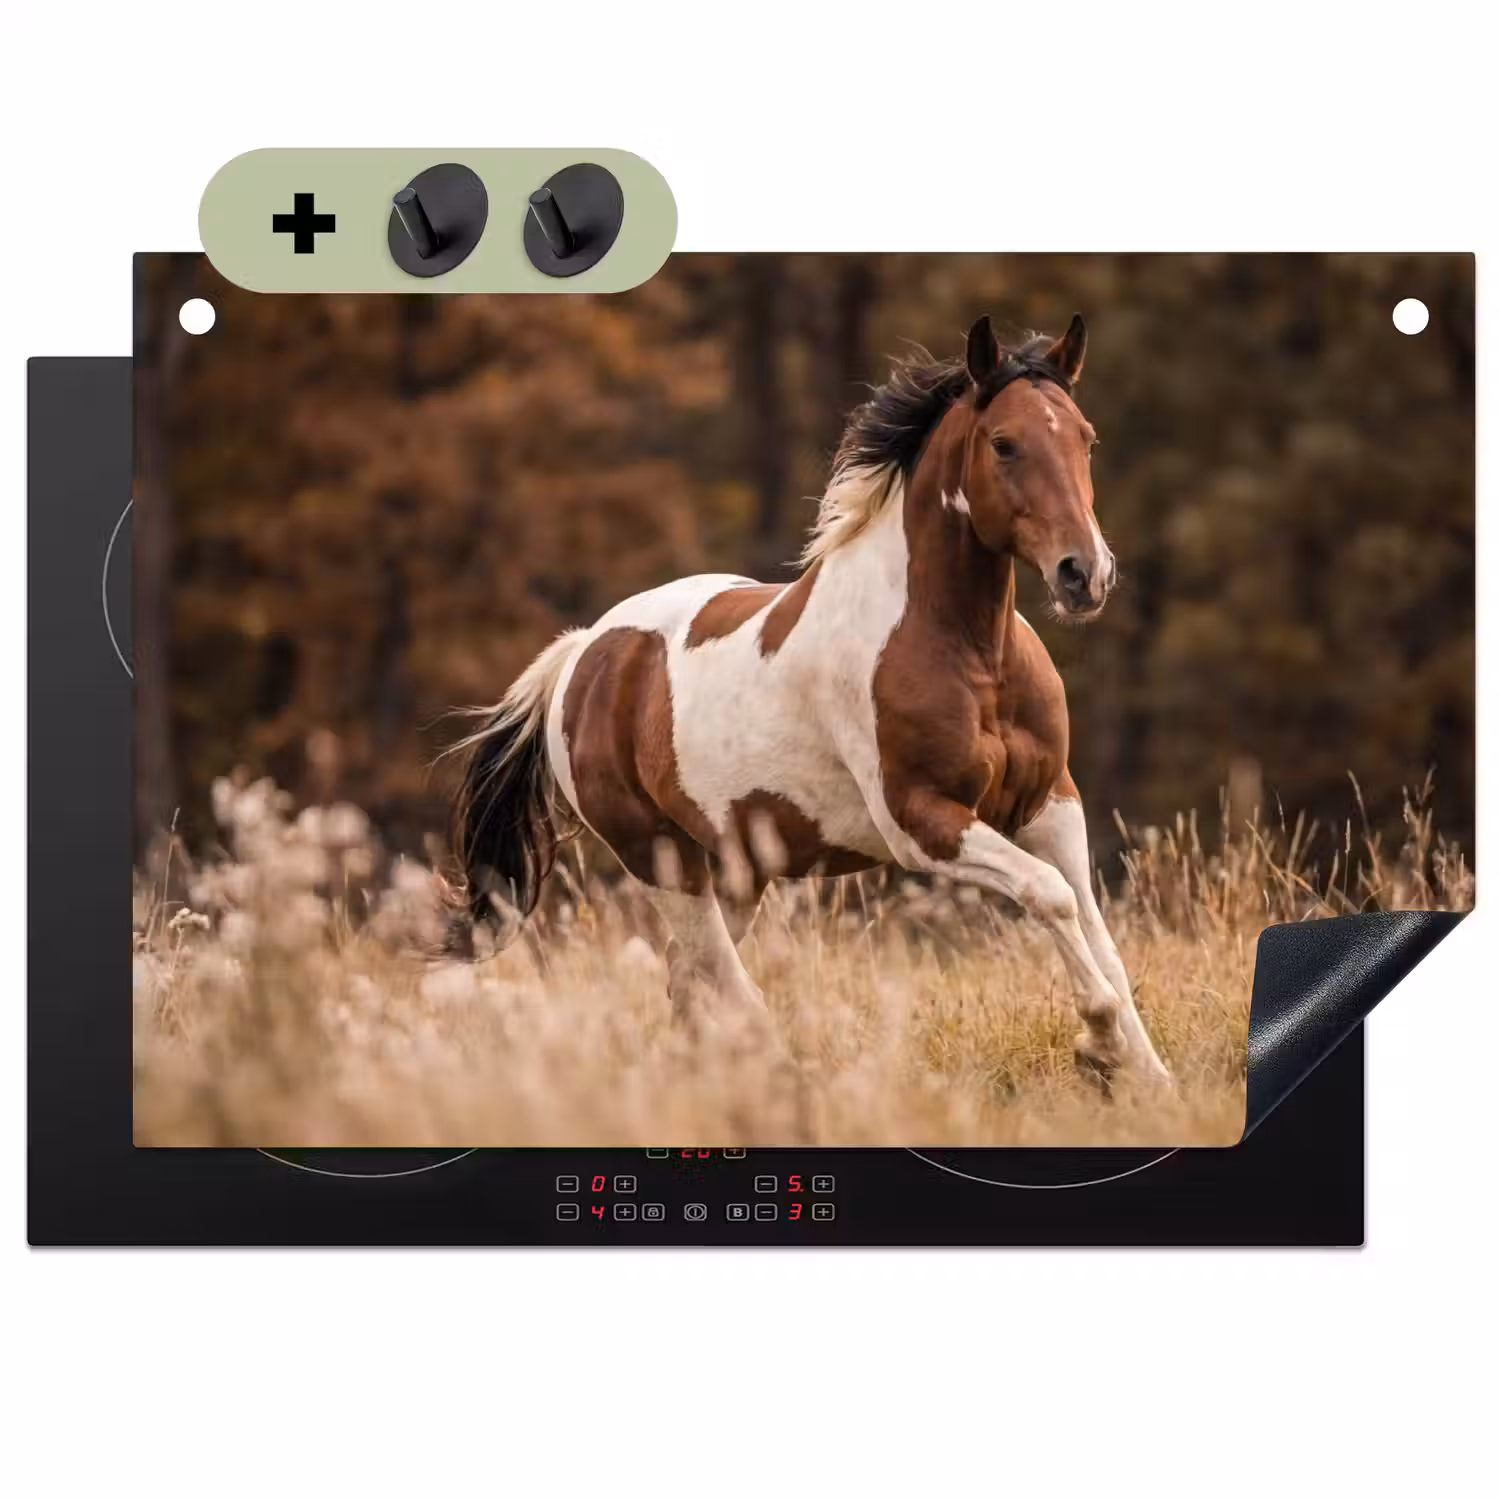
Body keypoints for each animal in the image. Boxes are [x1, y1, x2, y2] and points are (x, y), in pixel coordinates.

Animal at [451, 313, 1172, 1086]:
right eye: (1004, 443)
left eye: (1085, 438)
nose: (1084, 575)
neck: (972, 653)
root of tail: (583, 653)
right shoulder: (922, 823)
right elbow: (1050, 895)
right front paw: (1098, 1042)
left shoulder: (1050, 804)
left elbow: (1095, 930)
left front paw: (1150, 1078)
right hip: (661, 859)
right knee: (725, 985)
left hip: (737, 869)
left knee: (689, 981)